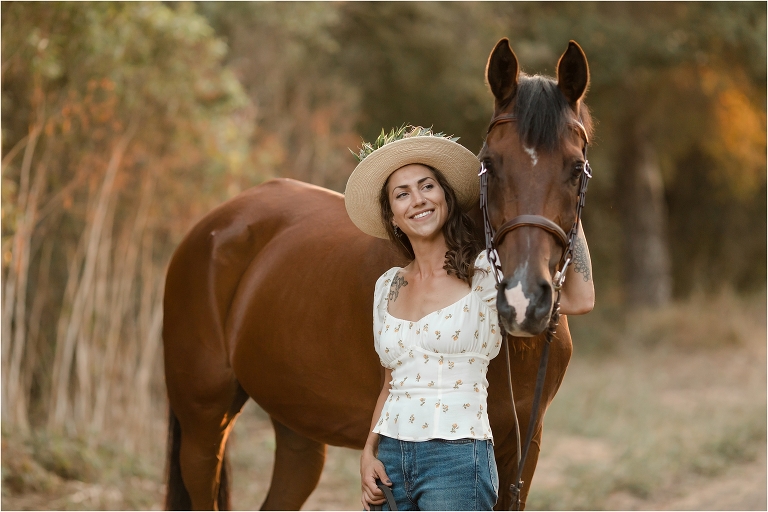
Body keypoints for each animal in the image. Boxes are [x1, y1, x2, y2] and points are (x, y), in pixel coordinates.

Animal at [163, 38, 593, 511]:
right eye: (490, 164)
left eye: (575, 168)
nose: (522, 302)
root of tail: (213, 226)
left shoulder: (524, 450)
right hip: (204, 424)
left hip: (296, 425)